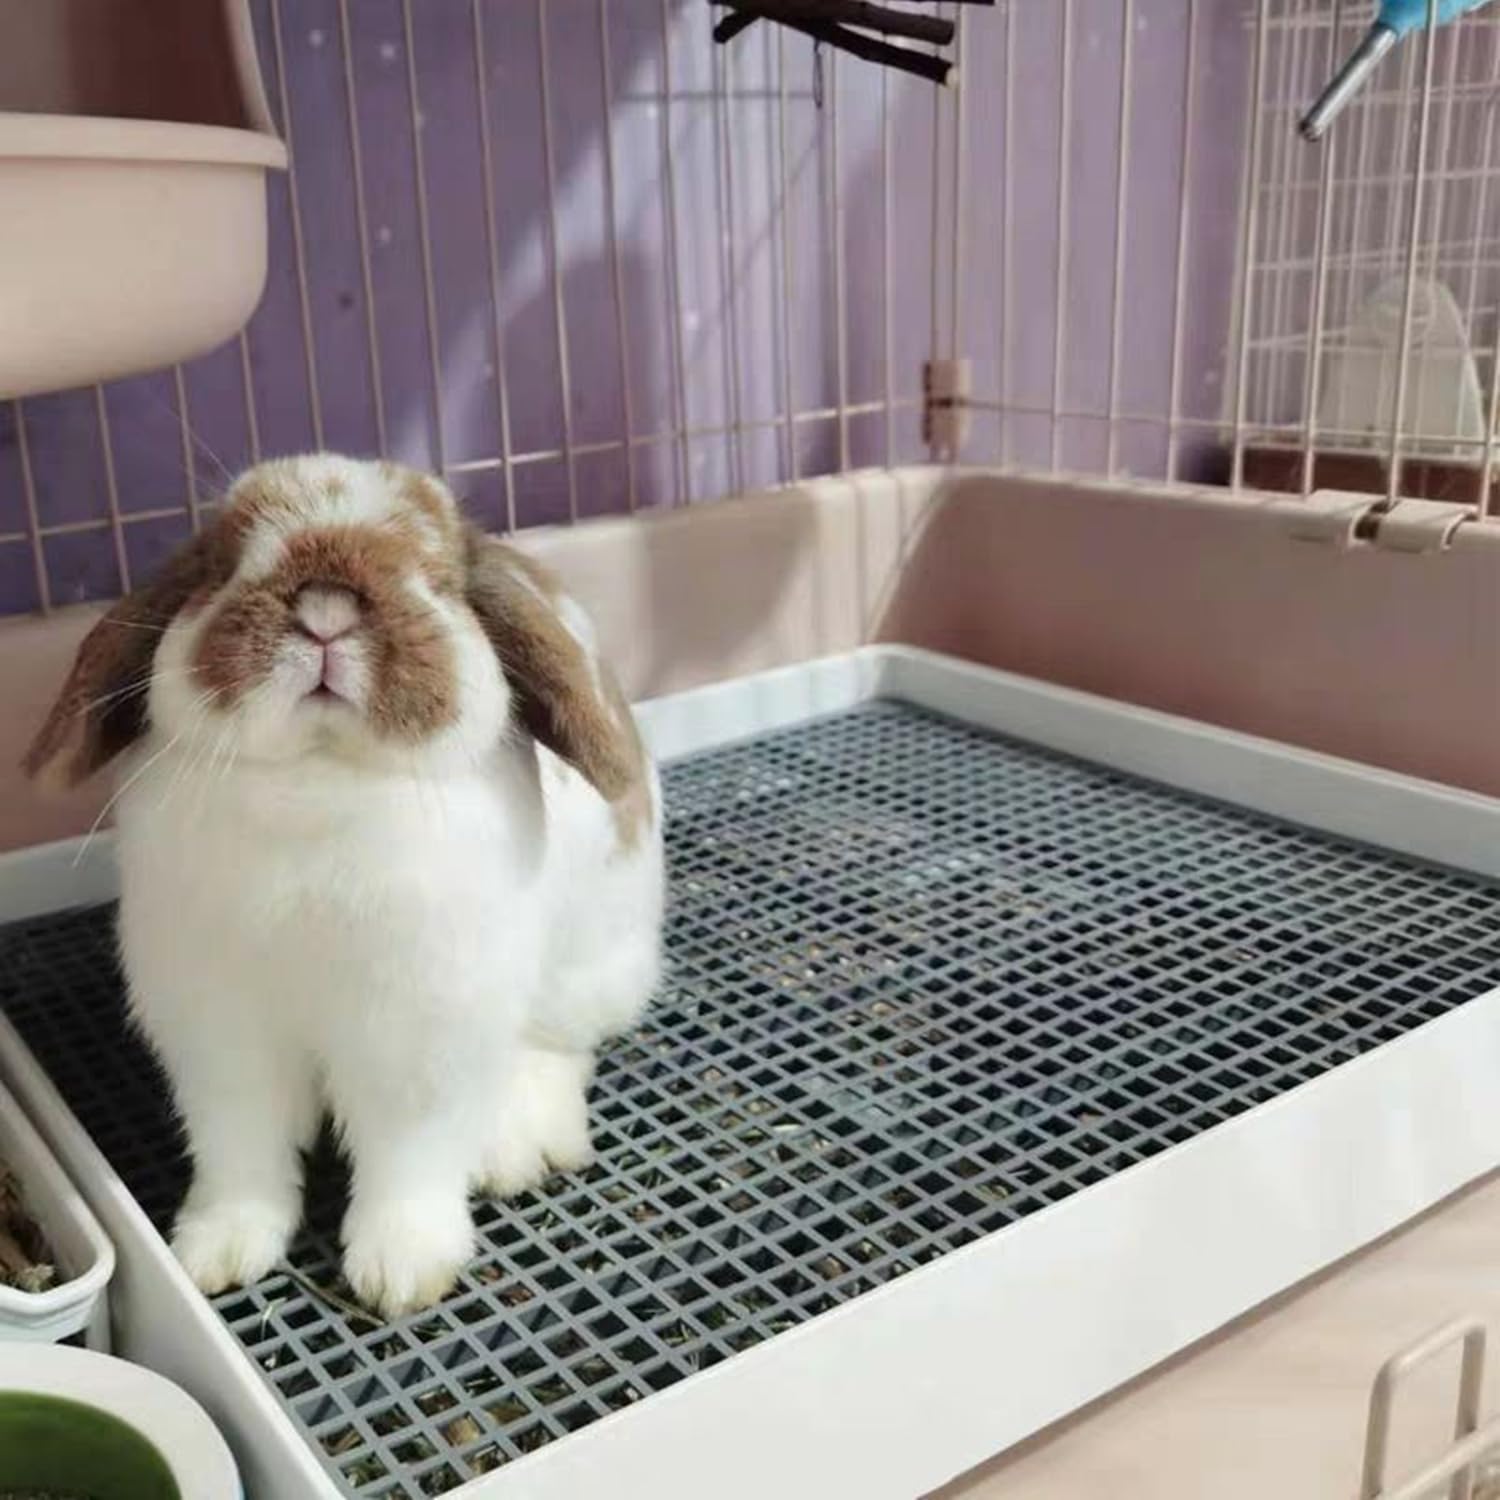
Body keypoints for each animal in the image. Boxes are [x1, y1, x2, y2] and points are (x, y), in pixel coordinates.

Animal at [23, 454, 664, 1318]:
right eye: (223, 564)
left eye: (433, 576)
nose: (325, 609)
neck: (316, 779)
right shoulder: (221, 1040)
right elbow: (241, 1152)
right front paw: (218, 1251)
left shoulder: (414, 1042)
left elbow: (407, 1160)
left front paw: (401, 1273)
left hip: (587, 967)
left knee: (555, 1049)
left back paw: (516, 1147)